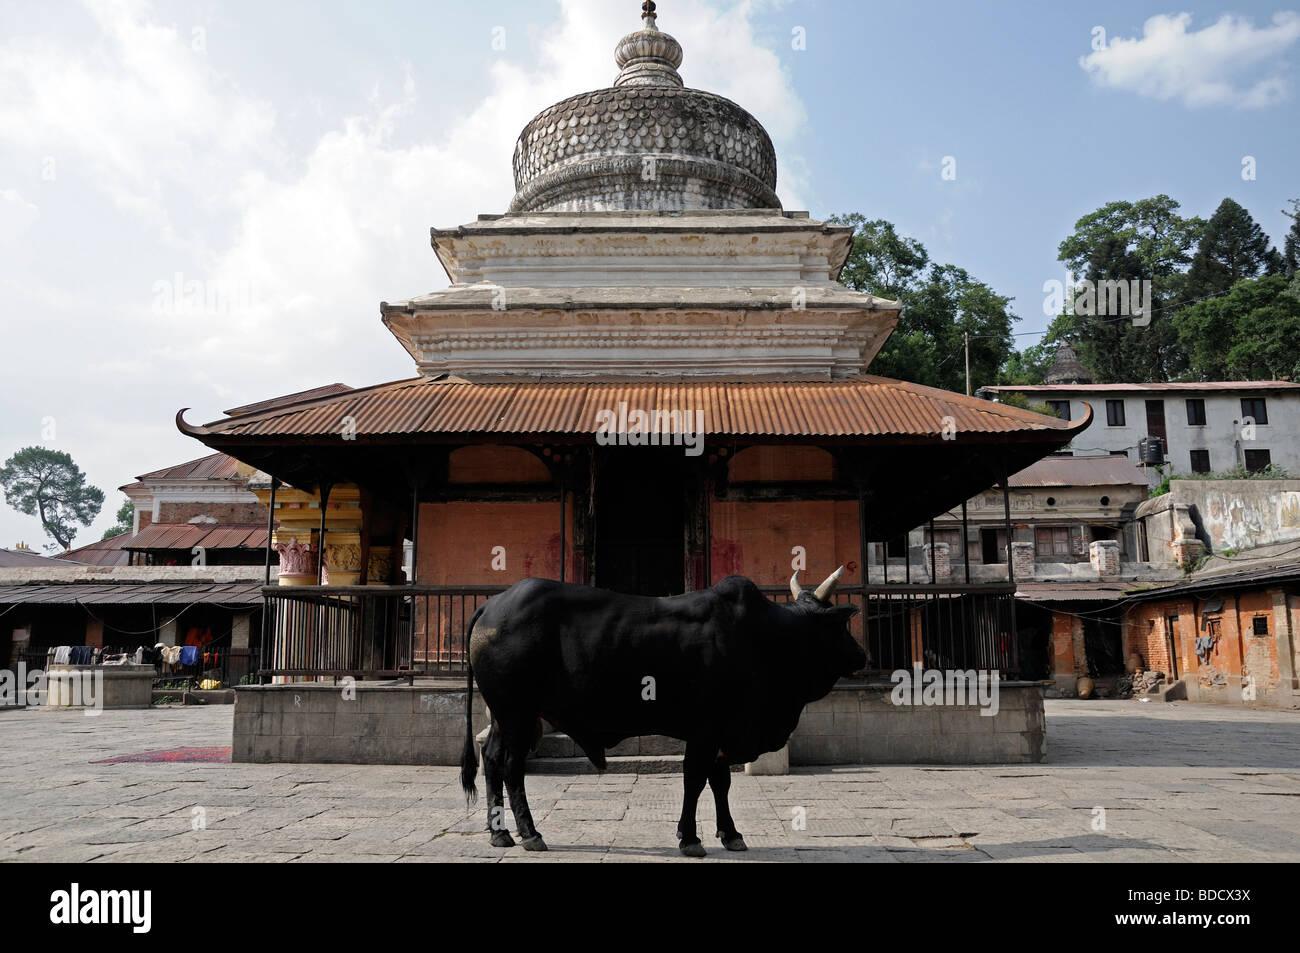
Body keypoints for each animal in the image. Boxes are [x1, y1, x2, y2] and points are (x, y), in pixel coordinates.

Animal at [457, 572, 863, 852]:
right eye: (839, 626)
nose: (862, 655)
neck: (765, 638)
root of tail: (493, 604)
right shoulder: (705, 730)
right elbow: (695, 780)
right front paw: (690, 838)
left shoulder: (720, 733)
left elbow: (720, 782)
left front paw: (730, 834)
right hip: (518, 714)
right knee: (510, 765)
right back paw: (529, 833)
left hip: (507, 716)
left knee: (492, 758)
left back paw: (501, 832)